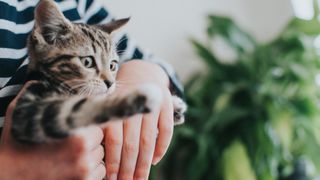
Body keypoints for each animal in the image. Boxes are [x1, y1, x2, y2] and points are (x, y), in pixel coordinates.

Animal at [11, 0, 186, 143]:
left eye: (112, 65)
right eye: (87, 62)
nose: (110, 83)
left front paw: (174, 105)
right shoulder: (28, 112)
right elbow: (79, 109)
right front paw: (138, 98)